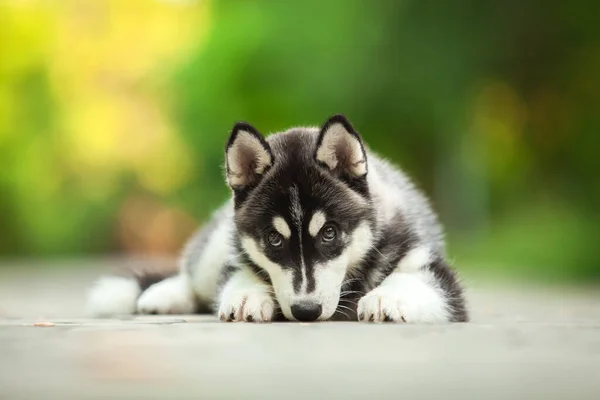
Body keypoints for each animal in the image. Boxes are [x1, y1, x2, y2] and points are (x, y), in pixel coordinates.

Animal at [85, 114, 468, 324]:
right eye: (273, 239)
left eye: (330, 233)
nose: (306, 311)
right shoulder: (237, 255)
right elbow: (240, 273)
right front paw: (248, 296)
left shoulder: (425, 258)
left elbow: (415, 278)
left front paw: (389, 297)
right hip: (215, 244)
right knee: (195, 275)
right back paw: (164, 294)